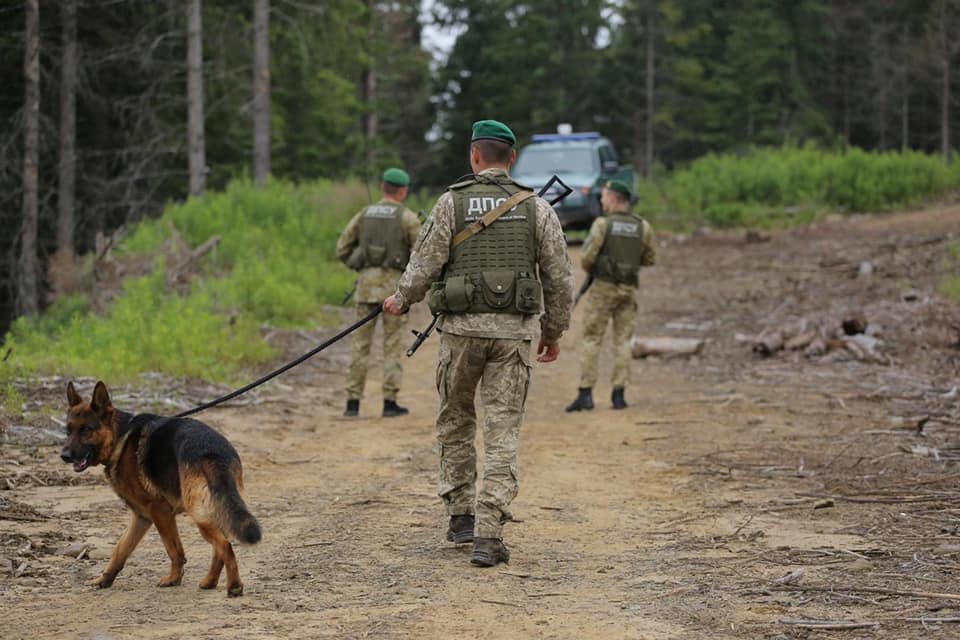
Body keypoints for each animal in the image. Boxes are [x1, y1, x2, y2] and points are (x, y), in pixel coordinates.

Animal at [62, 380, 260, 596]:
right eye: (68, 431)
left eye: (86, 430)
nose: (63, 456)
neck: (119, 437)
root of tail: (213, 450)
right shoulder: (141, 517)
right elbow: (120, 550)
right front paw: (104, 579)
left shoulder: (160, 511)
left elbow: (174, 550)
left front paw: (174, 578)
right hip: (217, 508)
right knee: (221, 545)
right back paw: (210, 581)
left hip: (199, 513)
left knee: (225, 545)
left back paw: (234, 585)